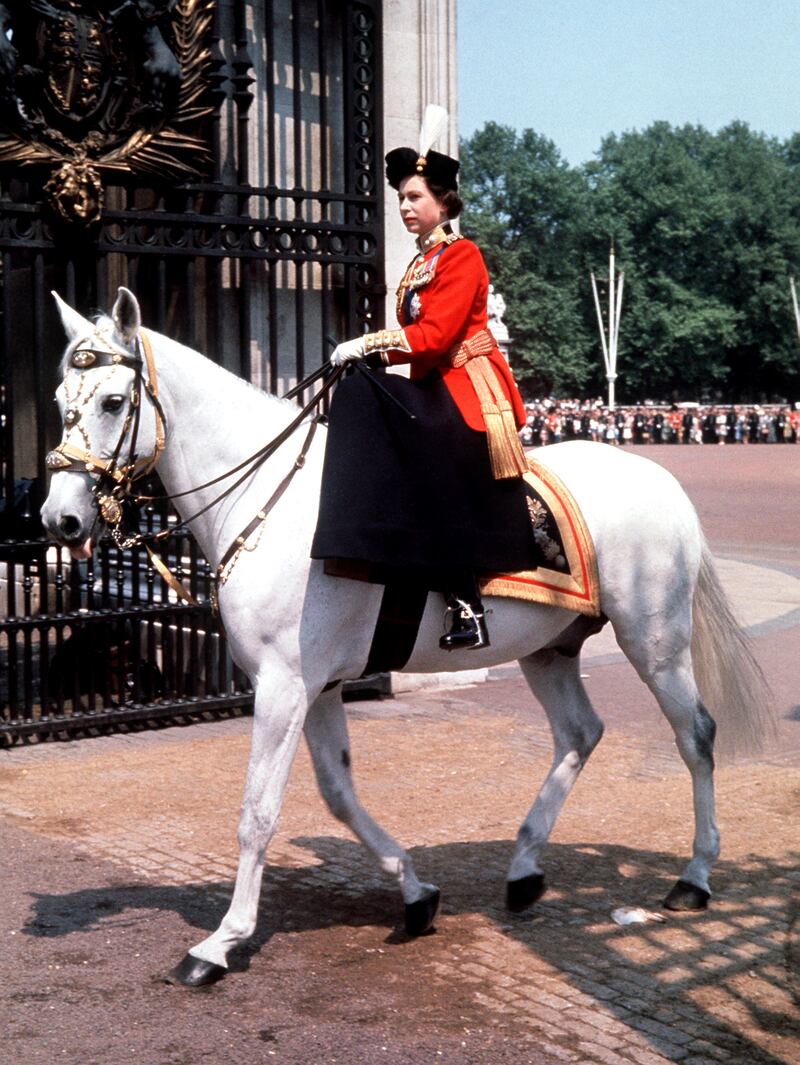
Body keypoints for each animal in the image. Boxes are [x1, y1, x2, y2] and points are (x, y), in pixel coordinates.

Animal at [40, 287, 771, 984]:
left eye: (112, 401)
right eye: (58, 401)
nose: (61, 520)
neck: (265, 501)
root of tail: (660, 476)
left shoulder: (283, 685)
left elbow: (258, 811)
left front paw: (220, 942)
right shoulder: (317, 686)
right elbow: (337, 795)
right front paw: (416, 894)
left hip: (654, 639)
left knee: (694, 734)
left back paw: (694, 877)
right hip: (549, 648)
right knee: (580, 733)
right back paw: (525, 867)